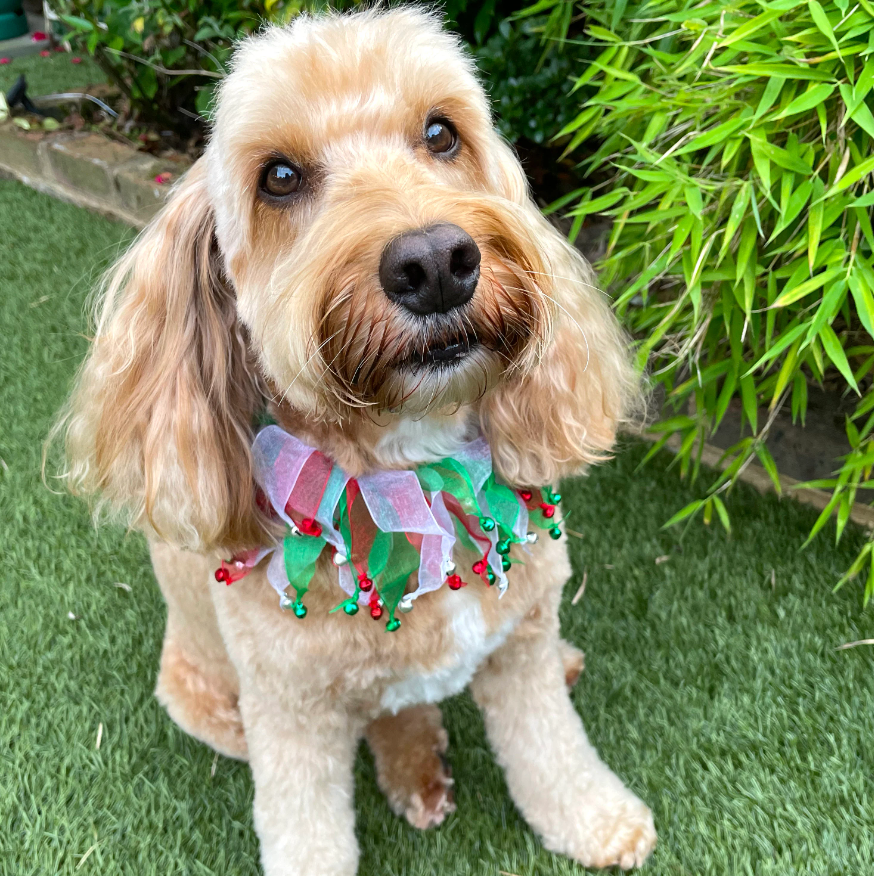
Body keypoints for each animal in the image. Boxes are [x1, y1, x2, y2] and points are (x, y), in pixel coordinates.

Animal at [54, 8, 656, 876]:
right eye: (278, 177)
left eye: (441, 133)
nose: (435, 262)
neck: (412, 473)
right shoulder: (292, 719)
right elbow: (307, 832)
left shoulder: (522, 647)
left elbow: (551, 748)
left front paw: (599, 820)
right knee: (380, 713)